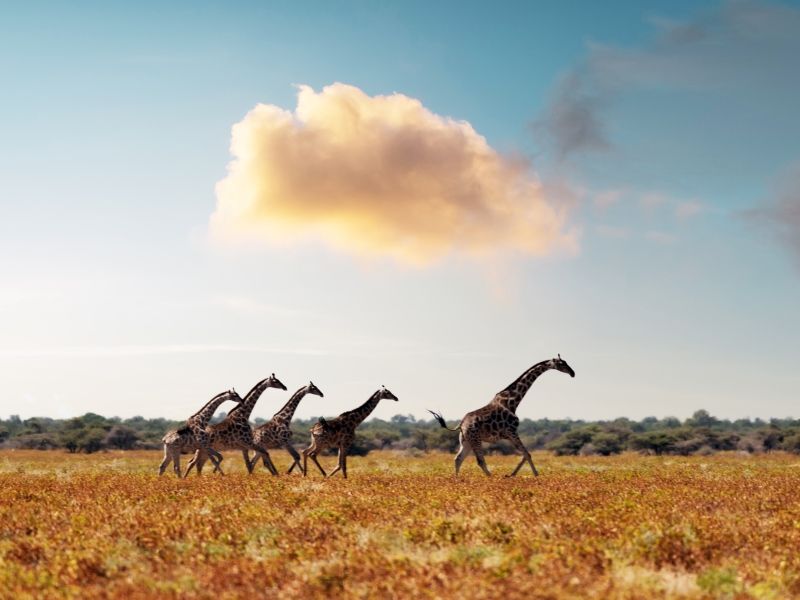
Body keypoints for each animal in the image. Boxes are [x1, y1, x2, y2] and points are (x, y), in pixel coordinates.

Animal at [428, 356, 572, 478]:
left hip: (466, 441)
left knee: (458, 458)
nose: (573, 373)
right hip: (475, 439)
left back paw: (457, 479)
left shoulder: (508, 435)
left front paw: (511, 475)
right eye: (561, 363)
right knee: (479, 461)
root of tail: (461, 424)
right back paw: (491, 478)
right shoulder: (512, 431)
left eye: (566, 362)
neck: (512, 401)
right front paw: (535, 475)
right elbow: (527, 454)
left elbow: (525, 454)